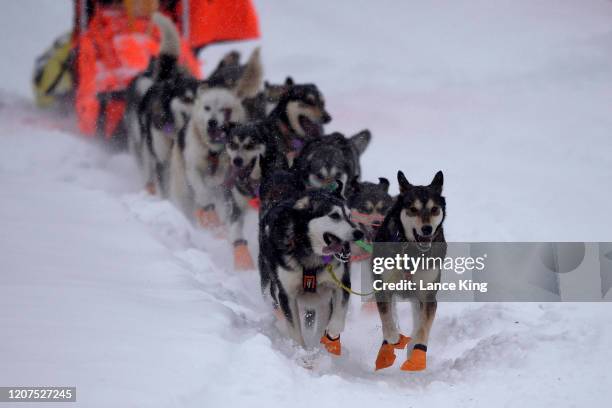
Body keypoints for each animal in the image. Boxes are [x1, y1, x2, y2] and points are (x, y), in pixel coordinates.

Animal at [370, 171, 448, 372]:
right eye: (413, 209)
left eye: (434, 209)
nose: (427, 229)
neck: (411, 250)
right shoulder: (383, 287)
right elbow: (387, 317)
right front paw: (393, 337)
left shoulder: (428, 295)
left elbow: (423, 327)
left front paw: (416, 350)